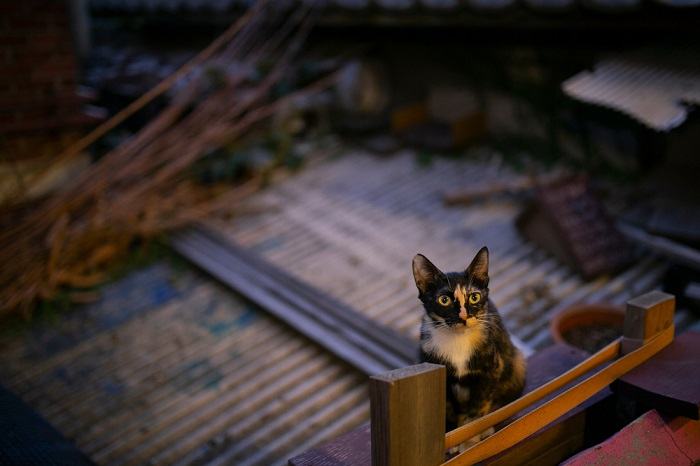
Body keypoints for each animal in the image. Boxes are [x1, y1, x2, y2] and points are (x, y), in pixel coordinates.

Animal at [410, 248, 524, 436]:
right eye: (444, 300)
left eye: (474, 297)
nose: (464, 316)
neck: (458, 340)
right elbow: (447, 407)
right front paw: (453, 431)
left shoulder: (492, 368)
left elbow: (480, 402)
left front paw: (473, 430)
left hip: (517, 362)